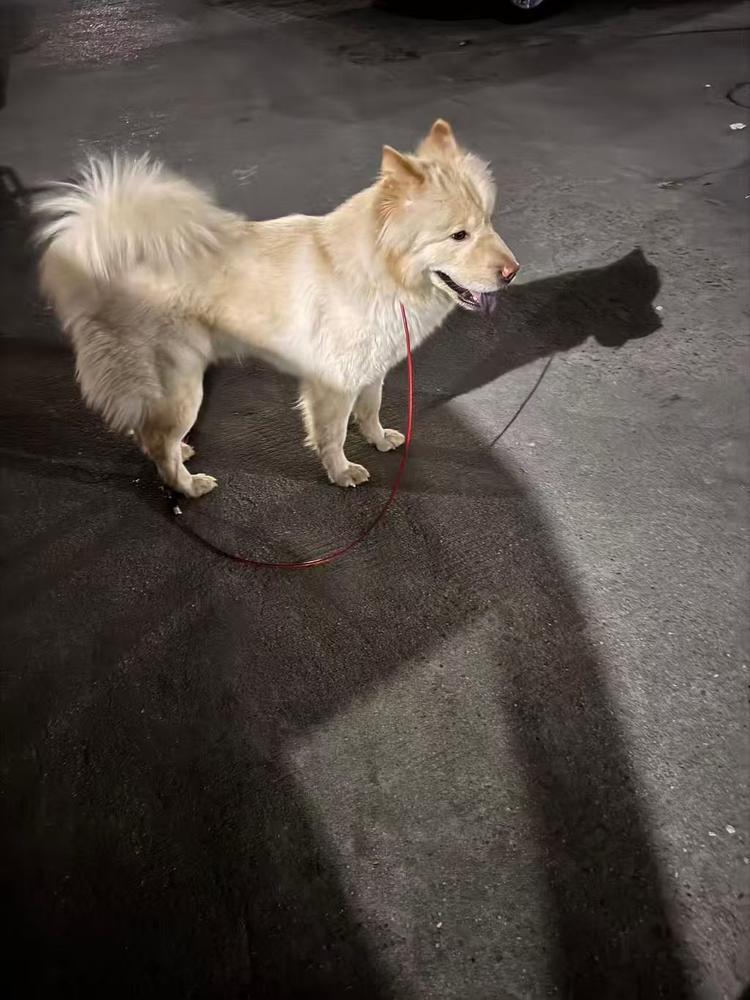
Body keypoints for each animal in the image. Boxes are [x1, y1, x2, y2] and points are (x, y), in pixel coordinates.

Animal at [36, 120, 519, 497]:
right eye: (458, 236)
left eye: (488, 222)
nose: (513, 272)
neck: (379, 271)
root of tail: (94, 254)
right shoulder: (333, 383)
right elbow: (333, 434)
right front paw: (341, 472)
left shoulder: (370, 370)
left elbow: (370, 410)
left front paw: (379, 439)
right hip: (183, 386)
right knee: (159, 443)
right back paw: (188, 485)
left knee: (150, 431)